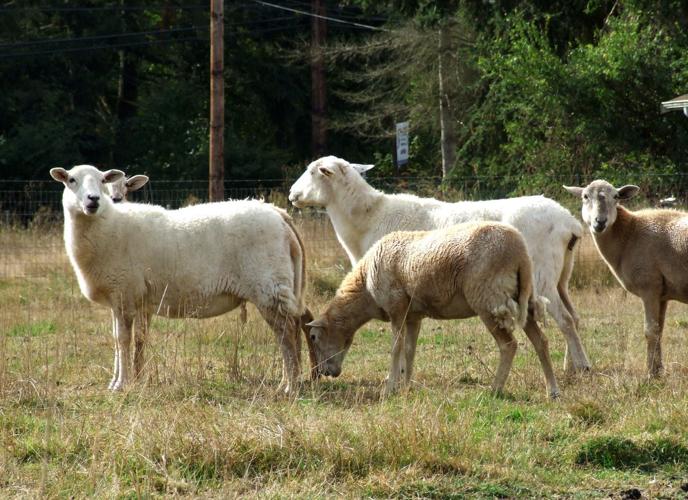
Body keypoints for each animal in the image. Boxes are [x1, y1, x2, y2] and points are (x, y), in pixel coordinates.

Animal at [50, 164, 313, 393]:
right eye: (71, 180)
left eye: (102, 180)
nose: (93, 199)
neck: (108, 227)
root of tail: (278, 214)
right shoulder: (122, 299)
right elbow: (119, 340)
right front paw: (116, 381)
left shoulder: (125, 293)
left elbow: (123, 340)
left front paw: (121, 385)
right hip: (278, 287)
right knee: (290, 330)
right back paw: (287, 382)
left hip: (269, 286)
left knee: (286, 332)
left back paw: (289, 387)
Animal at [290, 155, 590, 373]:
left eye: (313, 171)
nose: (292, 194)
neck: (368, 218)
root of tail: (569, 222)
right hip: (562, 275)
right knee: (573, 316)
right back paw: (571, 366)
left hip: (540, 275)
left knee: (564, 319)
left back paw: (582, 367)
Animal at [306, 221, 560, 399]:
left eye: (313, 337)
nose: (322, 374)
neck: (365, 288)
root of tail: (521, 252)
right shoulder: (413, 316)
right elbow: (410, 350)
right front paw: (406, 386)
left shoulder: (397, 308)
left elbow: (396, 348)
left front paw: (390, 387)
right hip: (522, 297)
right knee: (541, 341)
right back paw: (553, 390)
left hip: (488, 300)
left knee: (509, 345)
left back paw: (495, 389)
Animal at [564, 179, 688, 377]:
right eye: (585, 196)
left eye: (616, 196)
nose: (600, 222)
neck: (629, 234)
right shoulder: (662, 294)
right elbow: (659, 330)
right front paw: (658, 369)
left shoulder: (649, 287)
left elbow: (650, 331)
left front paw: (650, 373)